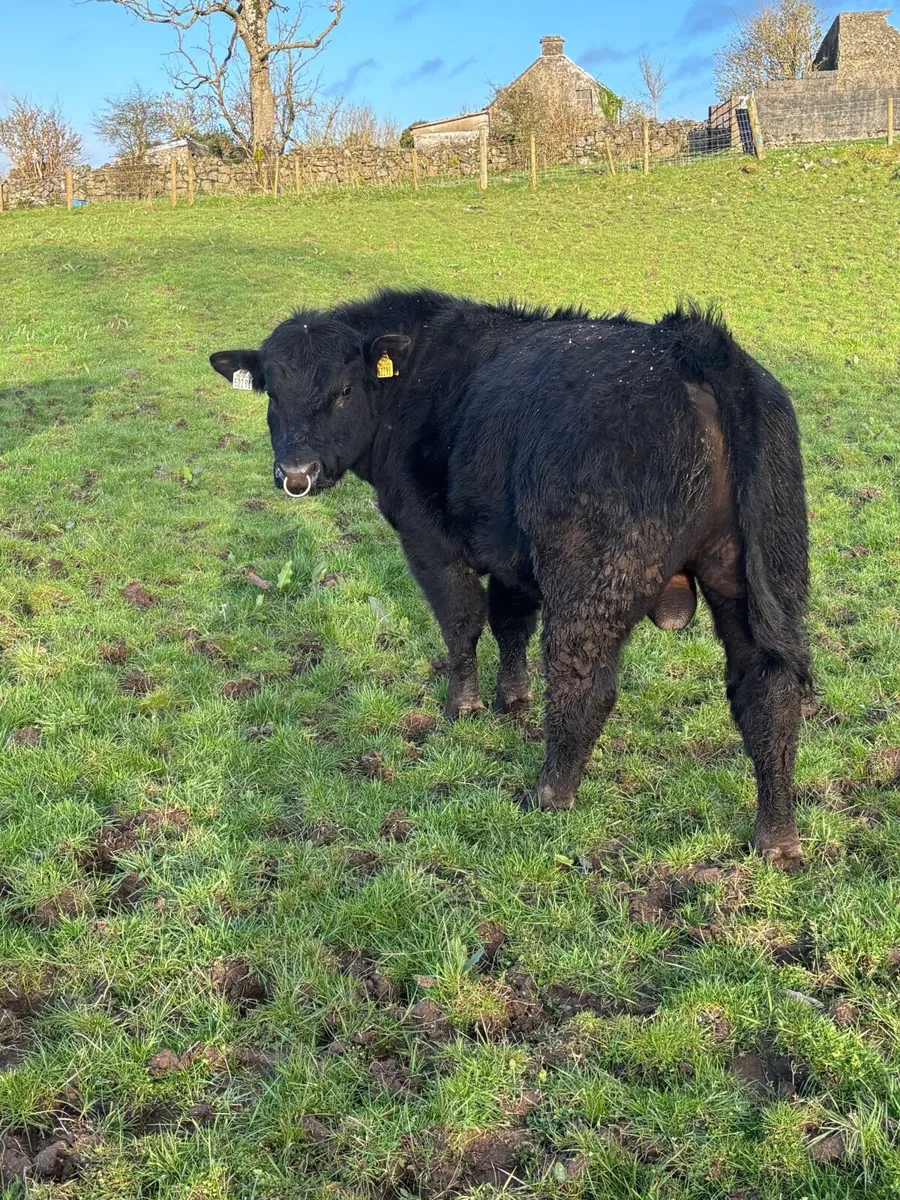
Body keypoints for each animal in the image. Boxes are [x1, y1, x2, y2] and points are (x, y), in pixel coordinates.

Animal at [211, 289, 810, 867]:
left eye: (342, 390)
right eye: (272, 394)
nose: (296, 474)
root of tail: (691, 344)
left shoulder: (429, 542)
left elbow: (462, 622)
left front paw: (463, 706)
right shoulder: (508, 556)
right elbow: (510, 624)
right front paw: (513, 697)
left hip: (592, 577)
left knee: (583, 681)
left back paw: (548, 793)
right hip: (762, 574)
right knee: (769, 688)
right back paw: (776, 837)